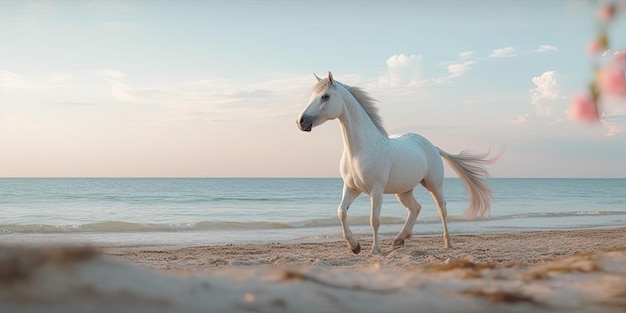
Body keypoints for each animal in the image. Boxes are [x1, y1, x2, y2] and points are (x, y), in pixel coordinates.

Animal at [294, 72, 500, 254]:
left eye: (325, 96)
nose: (301, 122)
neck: (361, 150)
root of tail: (433, 146)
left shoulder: (376, 190)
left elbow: (374, 219)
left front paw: (374, 249)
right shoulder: (351, 188)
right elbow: (341, 212)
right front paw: (354, 246)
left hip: (434, 185)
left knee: (442, 210)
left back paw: (447, 243)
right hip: (403, 190)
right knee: (415, 208)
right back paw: (399, 239)